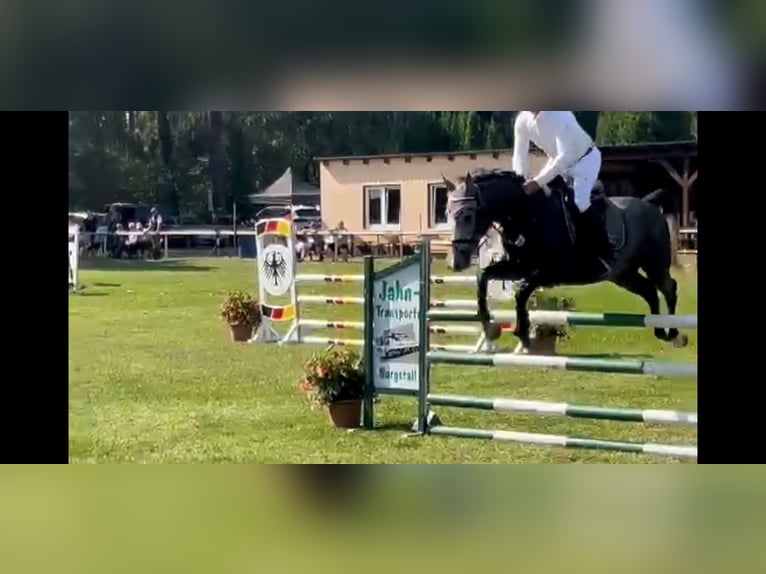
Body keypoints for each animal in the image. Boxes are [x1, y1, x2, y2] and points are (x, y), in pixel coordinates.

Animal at [444, 169, 688, 352]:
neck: (527, 214)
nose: (457, 262)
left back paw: (675, 334)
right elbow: (483, 277)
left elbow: (521, 291)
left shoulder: (550, 272)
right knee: (649, 290)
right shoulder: (519, 267)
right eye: (448, 213)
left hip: (654, 264)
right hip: (623, 274)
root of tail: (649, 204)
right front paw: (490, 328)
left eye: (467, 215)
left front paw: (523, 335)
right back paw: (660, 331)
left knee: (668, 288)